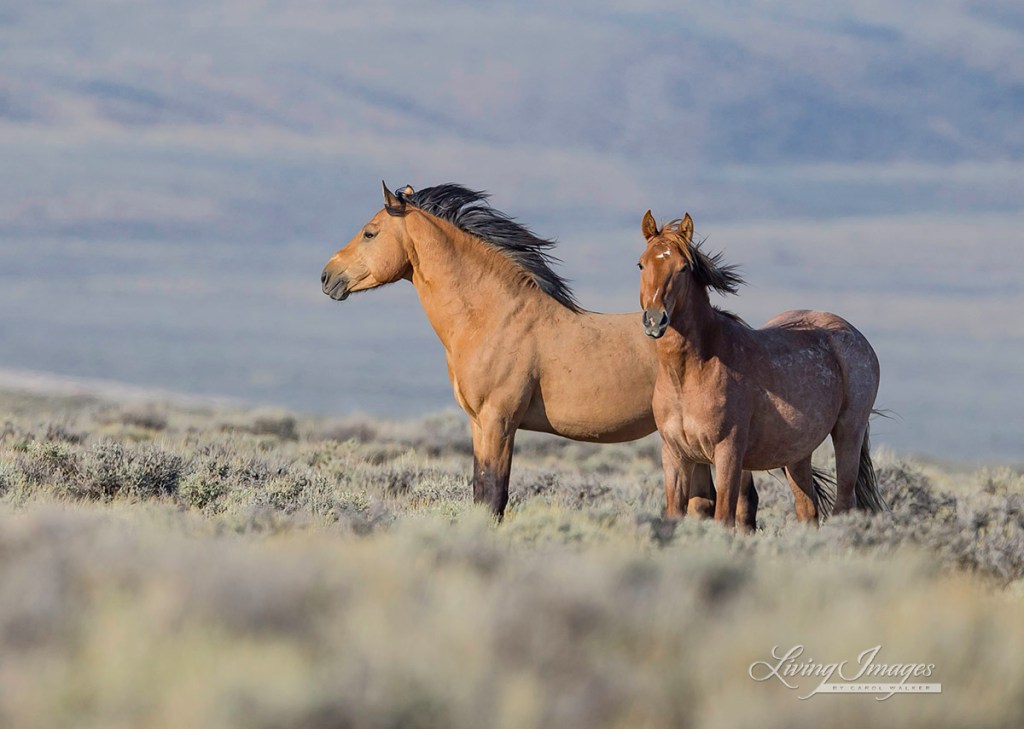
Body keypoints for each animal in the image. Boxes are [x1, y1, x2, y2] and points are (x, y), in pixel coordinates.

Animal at [320, 181, 759, 522]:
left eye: (370, 233)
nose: (327, 276)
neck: (493, 316)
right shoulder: (478, 424)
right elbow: (481, 492)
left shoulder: (499, 421)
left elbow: (493, 496)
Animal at [636, 209, 887, 528]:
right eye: (641, 264)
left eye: (683, 268)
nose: (655, 320)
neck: (690, 372)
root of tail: (853, 334)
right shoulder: (676, 455)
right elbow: (676, 513)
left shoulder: (728, 452)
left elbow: (724, 517)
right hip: (797, 454)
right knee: (807, 510)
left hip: (848, 432)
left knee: (843, 503)